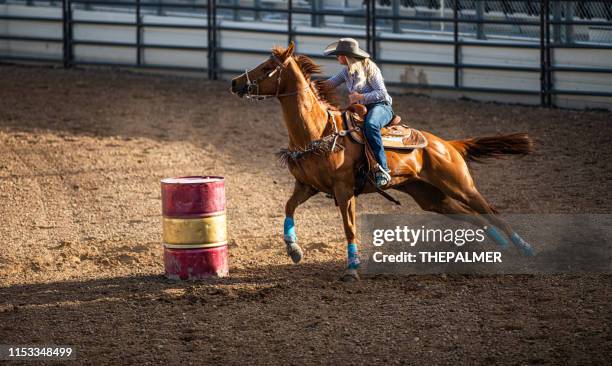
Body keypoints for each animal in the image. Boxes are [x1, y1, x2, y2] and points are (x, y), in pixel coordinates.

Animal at [232, 43, 532, 284]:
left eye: (268, 67)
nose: (235, 82)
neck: (317, 131)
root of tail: (449, 144)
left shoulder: (344, 191)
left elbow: (349, 228)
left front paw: (352, 269)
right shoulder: (306, 185)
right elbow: (288, 208)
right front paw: (294, 250)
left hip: (460, 185)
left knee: (490, 210)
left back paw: (525, 248)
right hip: (432, 197)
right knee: (472, 215)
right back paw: (499, 246)